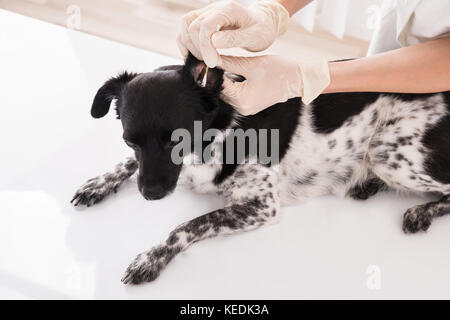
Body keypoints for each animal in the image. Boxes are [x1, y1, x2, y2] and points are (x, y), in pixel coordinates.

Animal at [71, 53, 450, 284]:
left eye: (176, 140)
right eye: (129, 140)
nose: (150, 195)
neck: (220, 131)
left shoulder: (262, 206)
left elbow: (188, 225)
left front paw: (152, 257)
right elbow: (129, 165)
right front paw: (98, 183)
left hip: (390, 152)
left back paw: (420, 211)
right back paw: (367, 185)